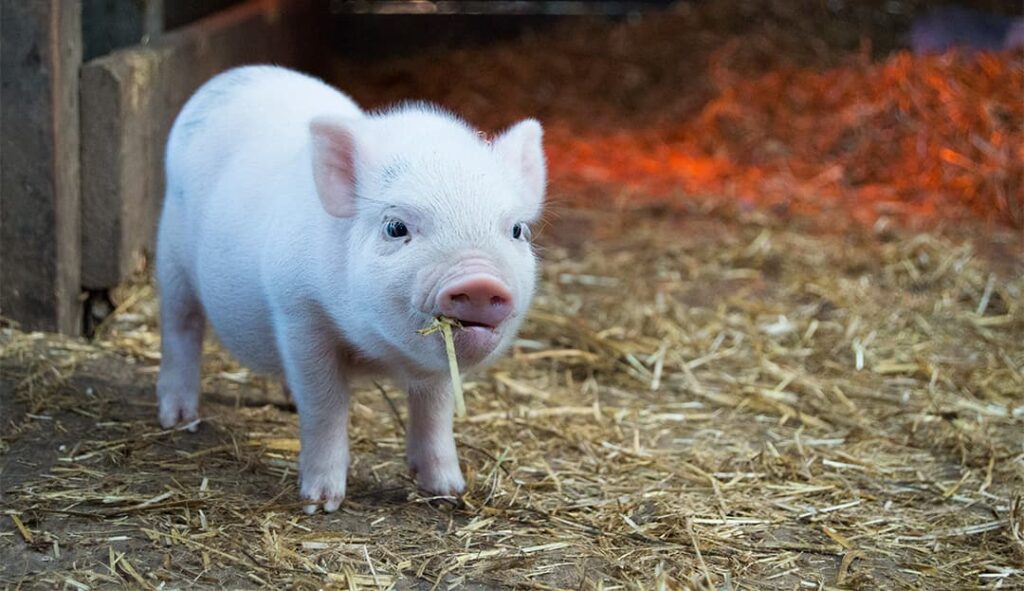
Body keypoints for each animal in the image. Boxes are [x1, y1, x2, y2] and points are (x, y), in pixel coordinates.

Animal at [155, 65, 545, 513]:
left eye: (516, 230)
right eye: (396, 227)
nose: (479, 281)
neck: (377, 353)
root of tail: (234, 75)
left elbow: (435, 410)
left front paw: (448, 490)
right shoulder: (298, 312)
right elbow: (325, 405)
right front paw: (320, 503)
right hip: (171, 255)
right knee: (181, 326)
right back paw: (178, 419)